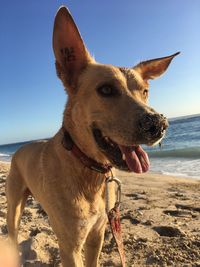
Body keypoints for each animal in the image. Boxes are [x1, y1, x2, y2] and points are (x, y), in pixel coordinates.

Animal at [6, 6, 180, 267]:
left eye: (145, 91)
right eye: (106, 89)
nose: (159, 124)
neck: (87, 168)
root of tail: (18, 149)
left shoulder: (97, 234)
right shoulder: (70, 247)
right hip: (13, 210)